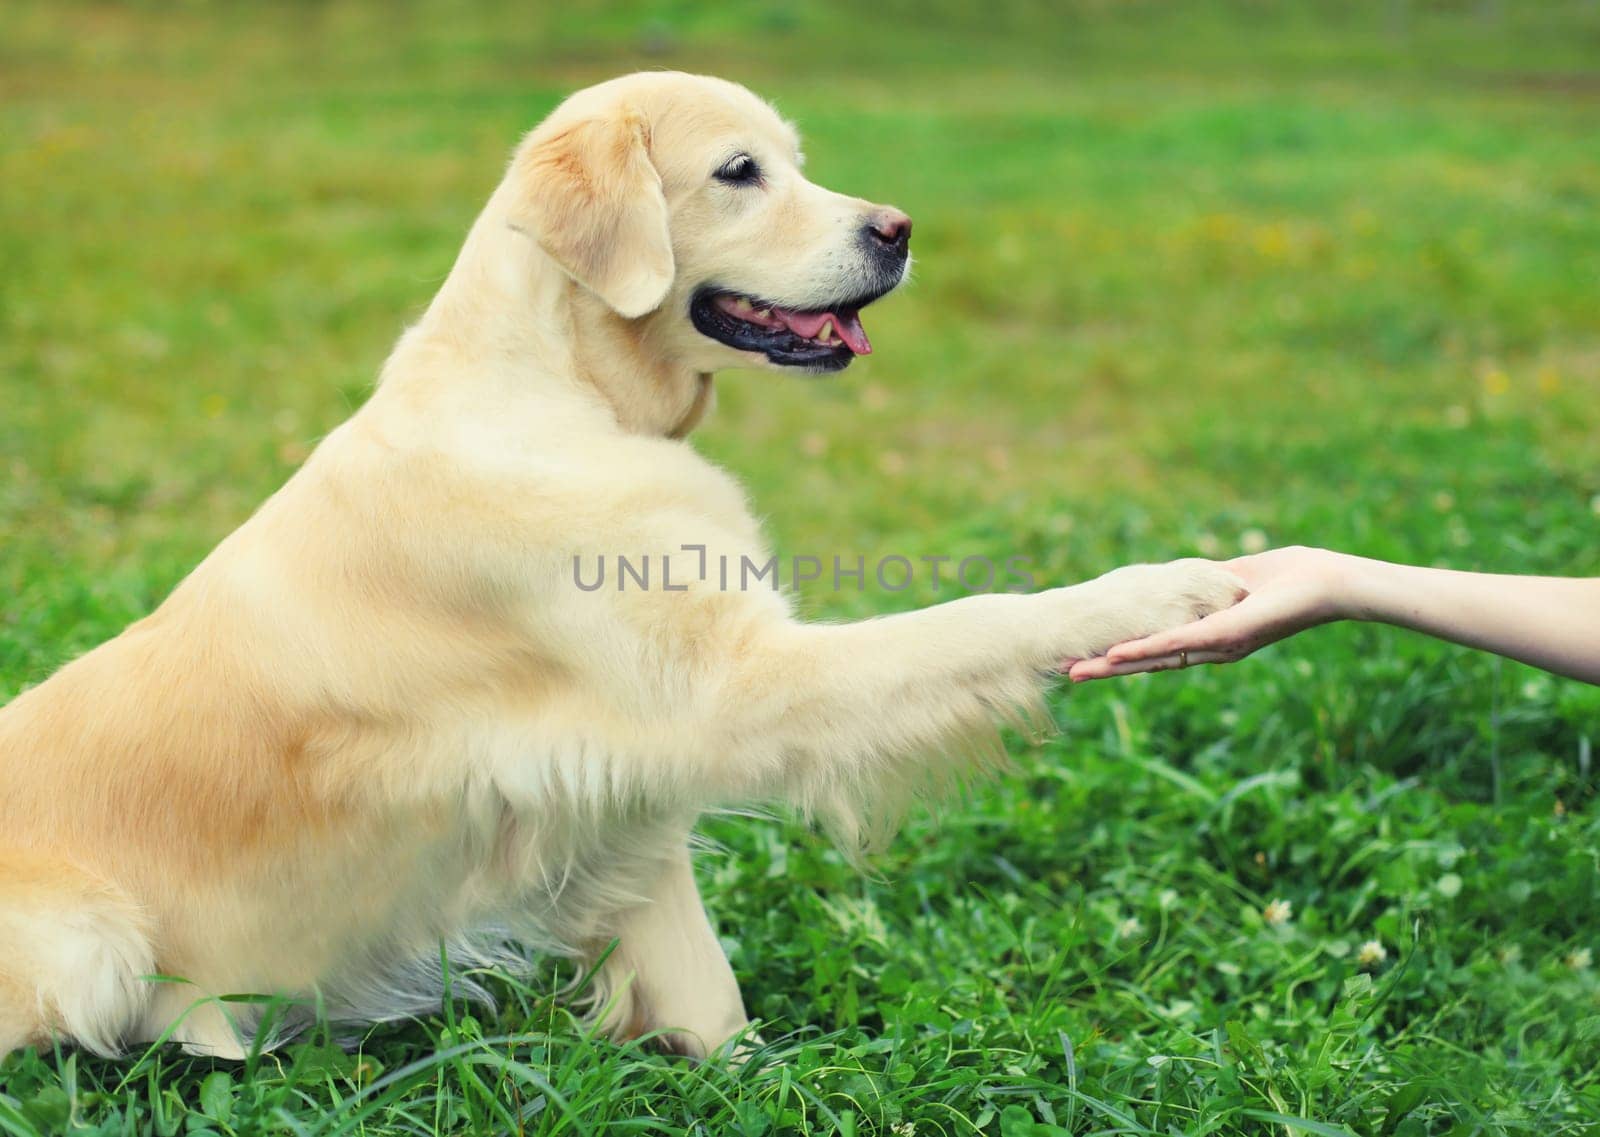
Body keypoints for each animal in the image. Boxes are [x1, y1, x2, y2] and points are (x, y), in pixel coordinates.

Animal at [0, 71, 1248, 1061]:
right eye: (739, 172)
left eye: (798, 161)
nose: (898, 229)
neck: (566, 390)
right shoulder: (737, 688)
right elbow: (980, 616)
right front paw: (1157, 587)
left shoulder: (622, 779)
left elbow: (701, 983)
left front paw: (734, 1073)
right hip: (94, 939)